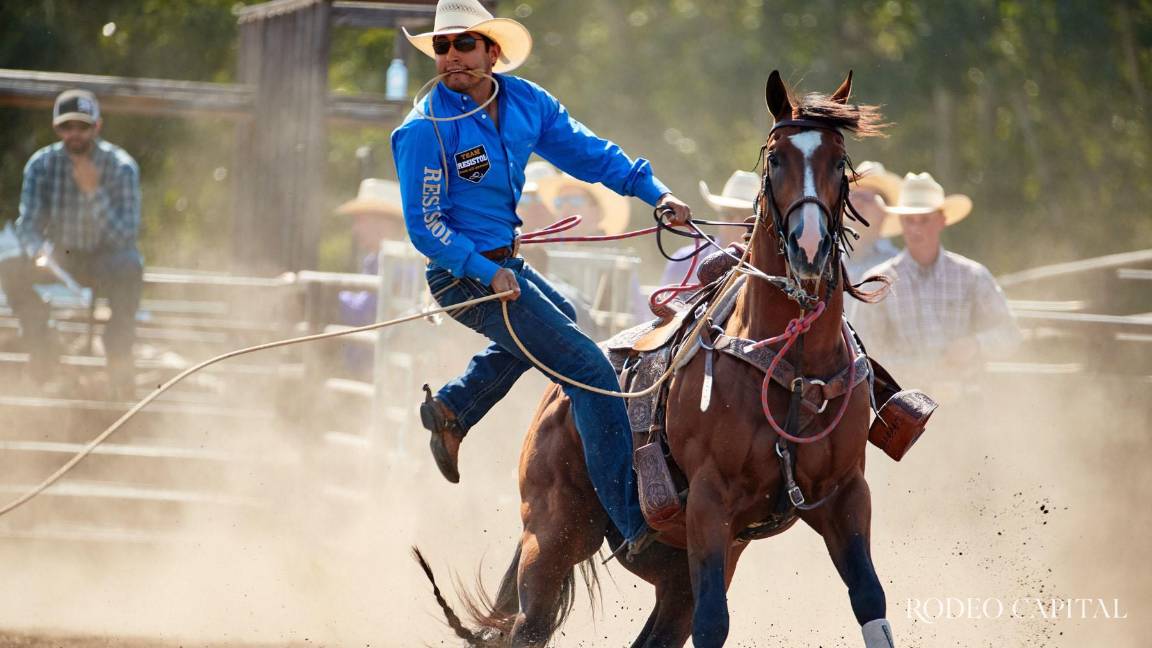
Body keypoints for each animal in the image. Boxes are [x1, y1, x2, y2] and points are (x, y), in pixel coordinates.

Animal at [417, 70, 894, 648]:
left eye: (838, 159)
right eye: (776, 158)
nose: (808, 248)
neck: (794, 366)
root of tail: (557, 397)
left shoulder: (846, 496)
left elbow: (870, 598)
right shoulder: (710, 502)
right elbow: (714, 625)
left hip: (675, 569)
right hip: (553, 538)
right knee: (528, 626)